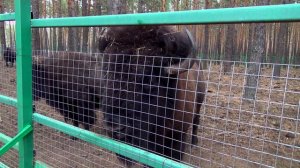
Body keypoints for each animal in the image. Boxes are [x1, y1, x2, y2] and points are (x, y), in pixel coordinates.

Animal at [99, 25, 205, 166]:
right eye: (107, 76)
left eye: (150, 81)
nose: (114, 127)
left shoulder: (178, 138)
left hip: (199, 104)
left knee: (196, 121)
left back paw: (194, 144)